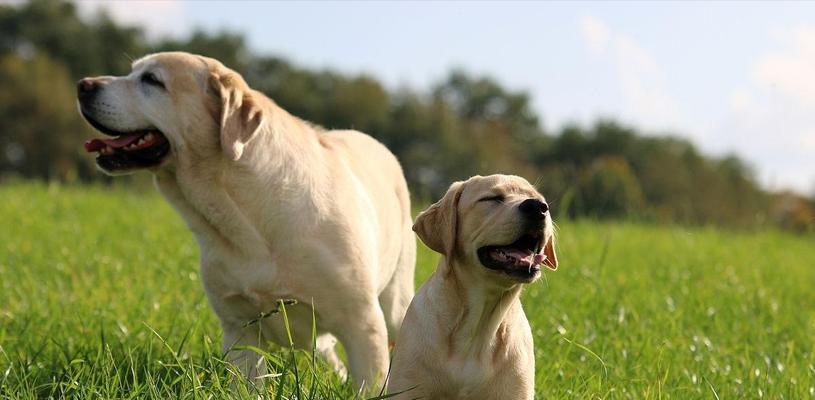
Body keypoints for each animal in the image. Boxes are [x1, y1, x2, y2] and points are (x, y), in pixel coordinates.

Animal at [75, 51, 418, 390]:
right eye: (133, 72)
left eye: (152, 80)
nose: (83, 85)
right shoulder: (240, 328)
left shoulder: (362, 324)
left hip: (396, 303)